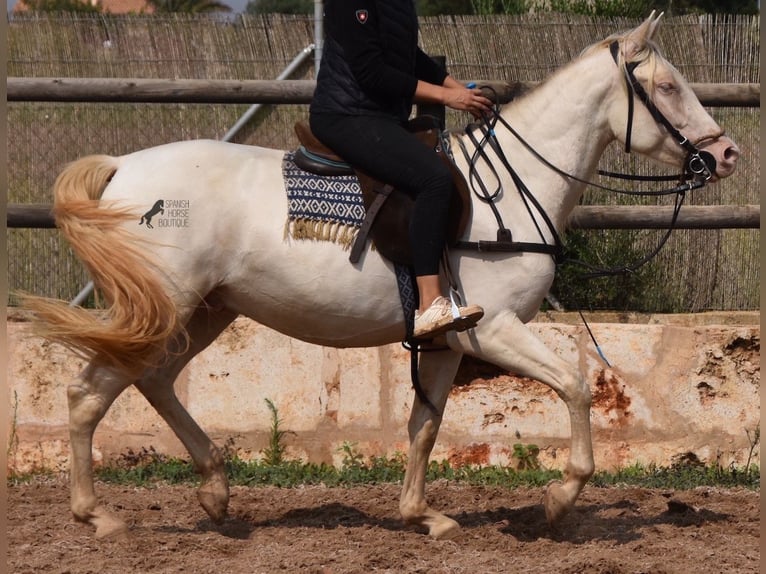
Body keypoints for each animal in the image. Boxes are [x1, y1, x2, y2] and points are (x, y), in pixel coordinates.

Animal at [27, 14, 740, 544]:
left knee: (153, 381)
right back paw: (99, 515)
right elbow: (574, 386)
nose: (727, 153)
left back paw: (215, 491)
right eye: (667, 87)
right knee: (89, 392)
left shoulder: (451, 342)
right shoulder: (496, 331)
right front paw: (561, 498)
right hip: (168, 306)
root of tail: (123, 168)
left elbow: (425, 425)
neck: (511, 191)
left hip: (206, 310)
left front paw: (422, 515)